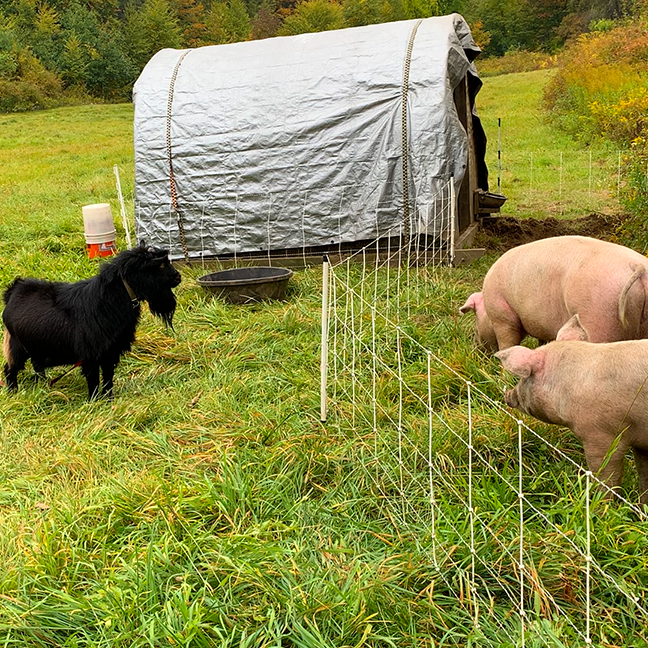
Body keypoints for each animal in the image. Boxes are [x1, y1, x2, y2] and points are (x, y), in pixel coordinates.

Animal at [2, 242, 181, 398]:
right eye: (161, 265)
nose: (178, 277)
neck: (108, 301)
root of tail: (13, 292)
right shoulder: (91, 355)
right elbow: (94, 380)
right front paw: (93, 401)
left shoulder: (110, 352)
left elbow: (108, 377)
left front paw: (109, 399)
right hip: (17, 347)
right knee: (9, 368)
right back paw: (13, 392)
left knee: (36, 365)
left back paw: (42, 385)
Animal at [460, 235, 648, 352]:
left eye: (475, 317)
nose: (475, 347)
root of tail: (638, 266)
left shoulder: (502, 316)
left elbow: (508, 342)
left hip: (600, 317)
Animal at [498, 316, 648, 504]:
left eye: (524, 378)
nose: (507, 395)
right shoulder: (641, 441)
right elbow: (644, 477)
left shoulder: (600, 434)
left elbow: (605, 476)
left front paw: (601, 506)